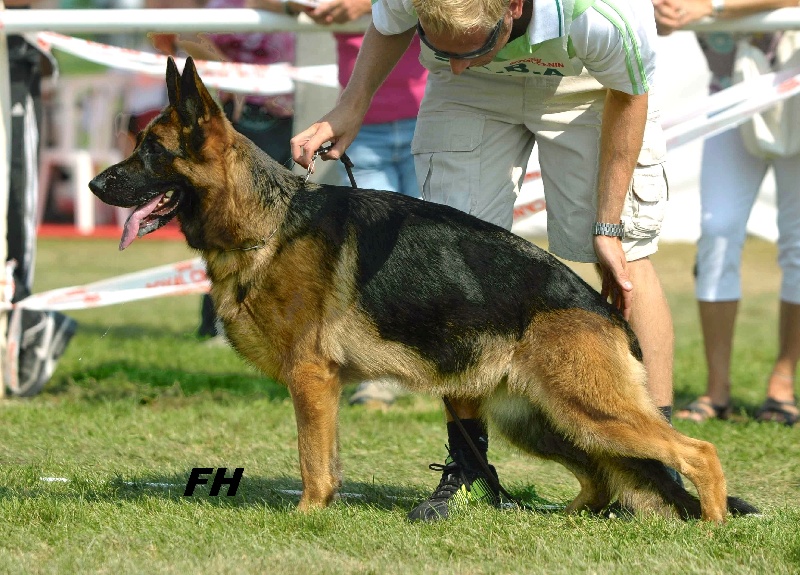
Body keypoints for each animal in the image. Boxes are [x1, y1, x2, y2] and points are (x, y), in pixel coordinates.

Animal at [90, 57, 752, 520]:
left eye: (151, 151)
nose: (96, 185)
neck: (268, 222)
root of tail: (604, 308)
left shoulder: (311, 378)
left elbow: (311, 462)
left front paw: (305, 514)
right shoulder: (322, 388)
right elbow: (326, 458)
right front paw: (323, 509)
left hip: (591, 410)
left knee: (696, 452)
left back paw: (714, 524)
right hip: (541, 421)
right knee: (598, 476)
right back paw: (557, 515)